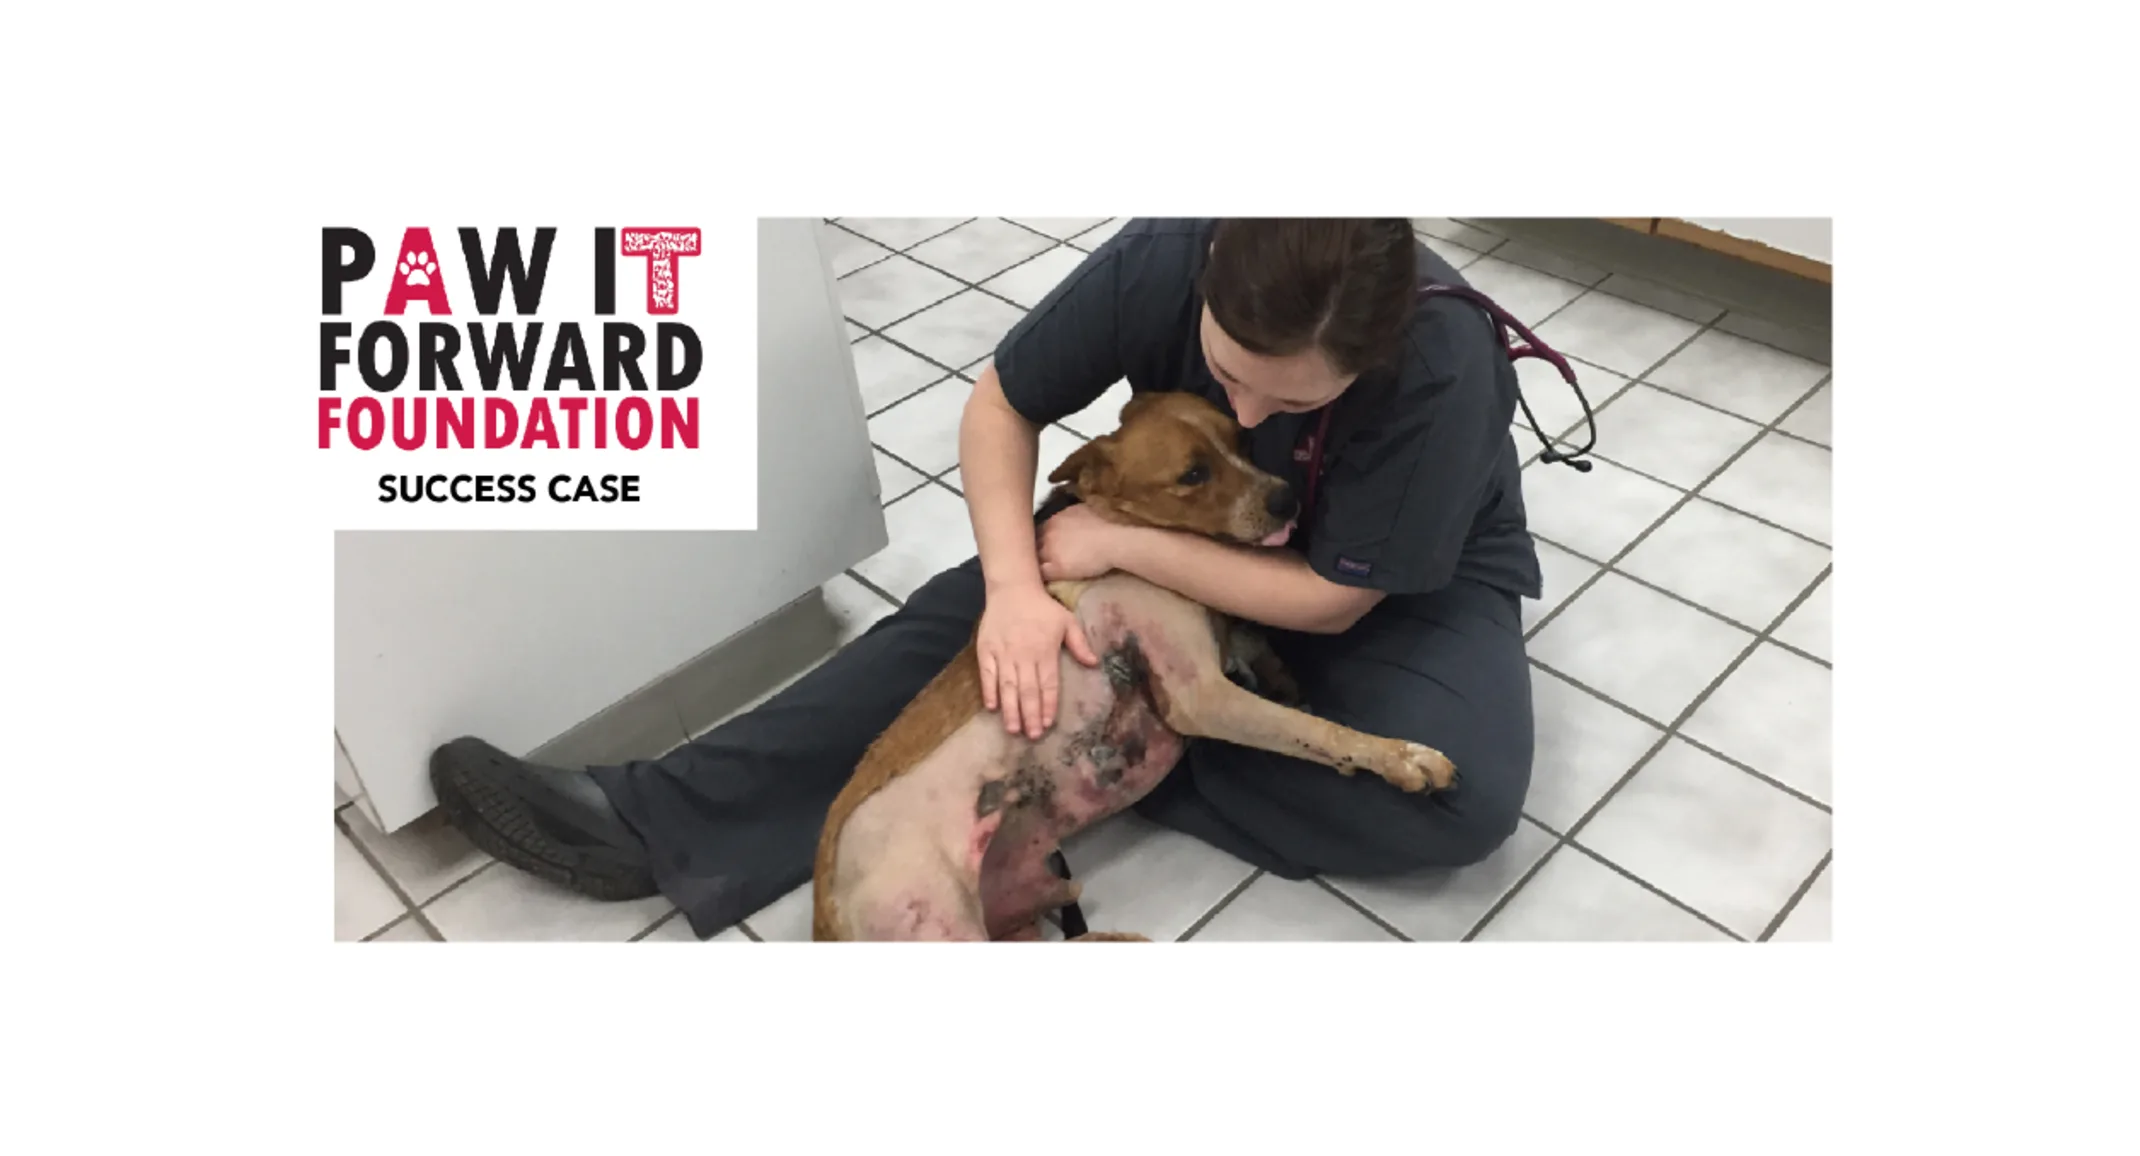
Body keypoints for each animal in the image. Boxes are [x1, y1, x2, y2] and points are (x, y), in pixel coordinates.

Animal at [808, 393, 1463, 941]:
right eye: (1192, 475)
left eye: (1242, 441)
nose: (1288, 500)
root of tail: (822, 917)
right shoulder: (1201, 695)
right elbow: (1318, 731)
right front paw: (1400, 758)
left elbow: (1259, 650)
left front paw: (1283, 676)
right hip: (937, 922)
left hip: (1042, 904)